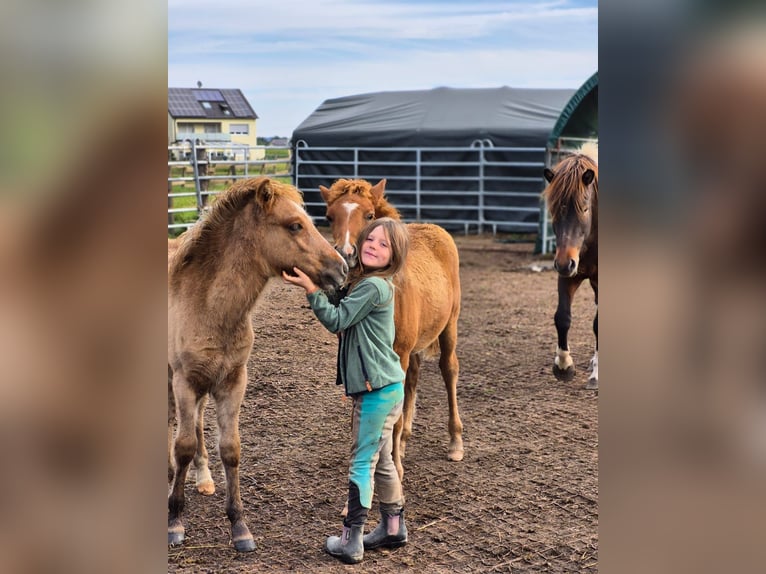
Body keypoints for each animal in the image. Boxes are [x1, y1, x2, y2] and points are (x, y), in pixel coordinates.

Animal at [168, 177, 348, 552]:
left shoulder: (233, 381)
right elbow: (183, 446)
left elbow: (230, 449)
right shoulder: (184, 381)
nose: (341, 269)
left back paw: (203, 478)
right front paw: (175, 521)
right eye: (295, 225)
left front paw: (240, 526)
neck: (207, 306)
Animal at [319, 178, 464, 483]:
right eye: (328, 216)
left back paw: (455, 442)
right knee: (413, 380)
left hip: (449, 327)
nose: (347, 253)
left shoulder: (399, 352)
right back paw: (406, 440)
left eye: (369, 215)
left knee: (449, 370)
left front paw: (394, 467)